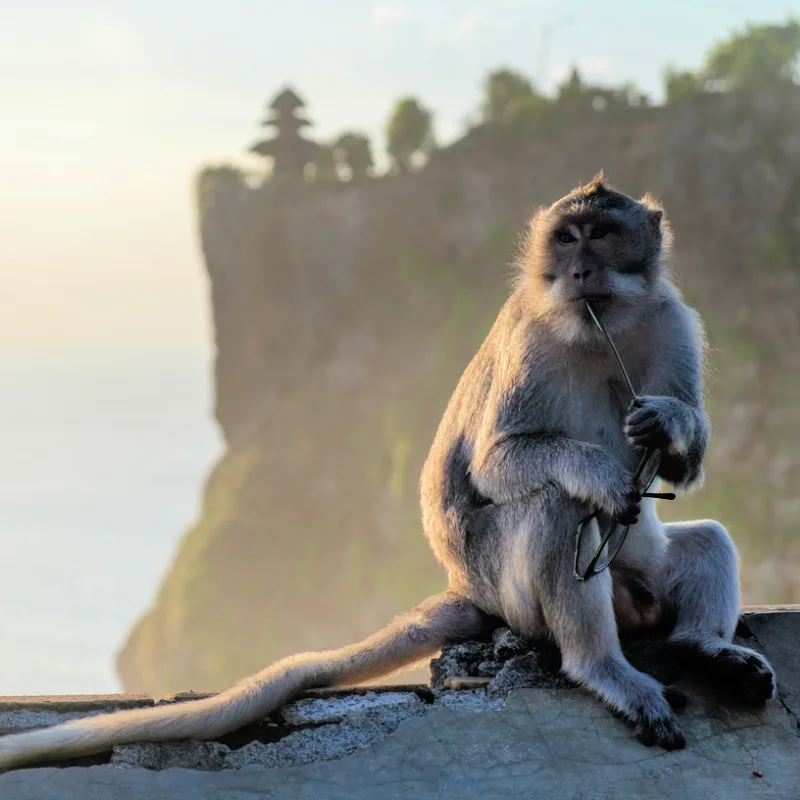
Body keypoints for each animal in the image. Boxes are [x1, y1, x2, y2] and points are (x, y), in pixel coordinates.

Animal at [0, 173, 776, 768]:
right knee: (558, 508)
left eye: (603, 235)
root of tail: (466, 588)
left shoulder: (674, 319)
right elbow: (500, 462)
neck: (597, 328)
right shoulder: (530, 341)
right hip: (508, 585)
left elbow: (685, 457)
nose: (580, 270)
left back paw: (706, 649)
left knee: (707, 541)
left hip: (632, 576)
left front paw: (668, 425)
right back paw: (605, 669)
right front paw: (601, 474)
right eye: (567, 238)